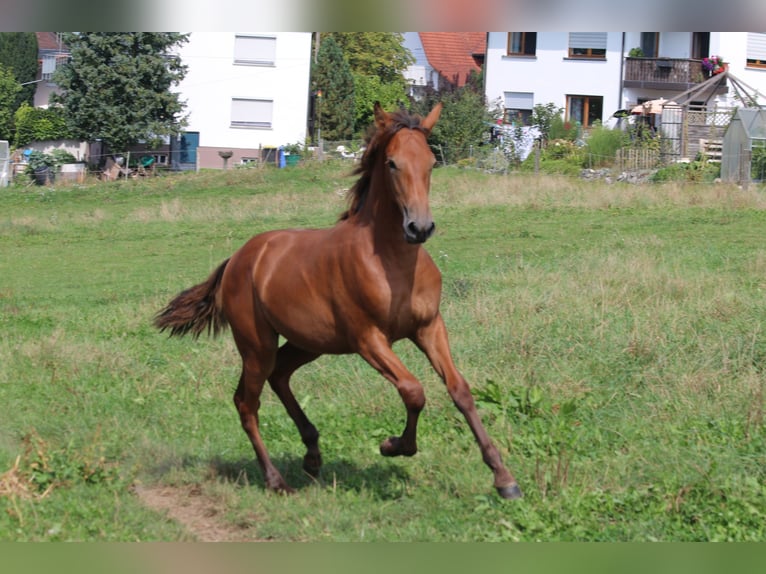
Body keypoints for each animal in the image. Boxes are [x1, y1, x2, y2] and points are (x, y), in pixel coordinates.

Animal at [158, 103, 528, 500]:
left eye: (431, 162)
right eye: (392, 163)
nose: (419, 228)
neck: (393, 263)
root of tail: (238, 259)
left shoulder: (429, 327)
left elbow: (460, 391)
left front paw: (504, 479)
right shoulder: (369, 339)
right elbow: (413, 391)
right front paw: (393, 446)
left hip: (308, 343)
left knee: (279, 376)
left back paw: (312, 454)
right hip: (257, 345)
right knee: (247, 402)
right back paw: (277, 480)